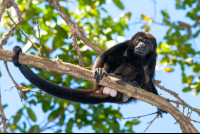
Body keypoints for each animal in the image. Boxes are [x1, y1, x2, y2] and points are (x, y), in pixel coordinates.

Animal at [12, 31, 159, 105]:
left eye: (147, 43)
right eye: (139, 40)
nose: (142, 45)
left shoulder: (153, 57)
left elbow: (148, 78)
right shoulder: (126, 44)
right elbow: (105, 55)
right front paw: (99, 70)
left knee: (140, 73)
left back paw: (129, 85)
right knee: (117, 58)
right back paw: (114, 76)